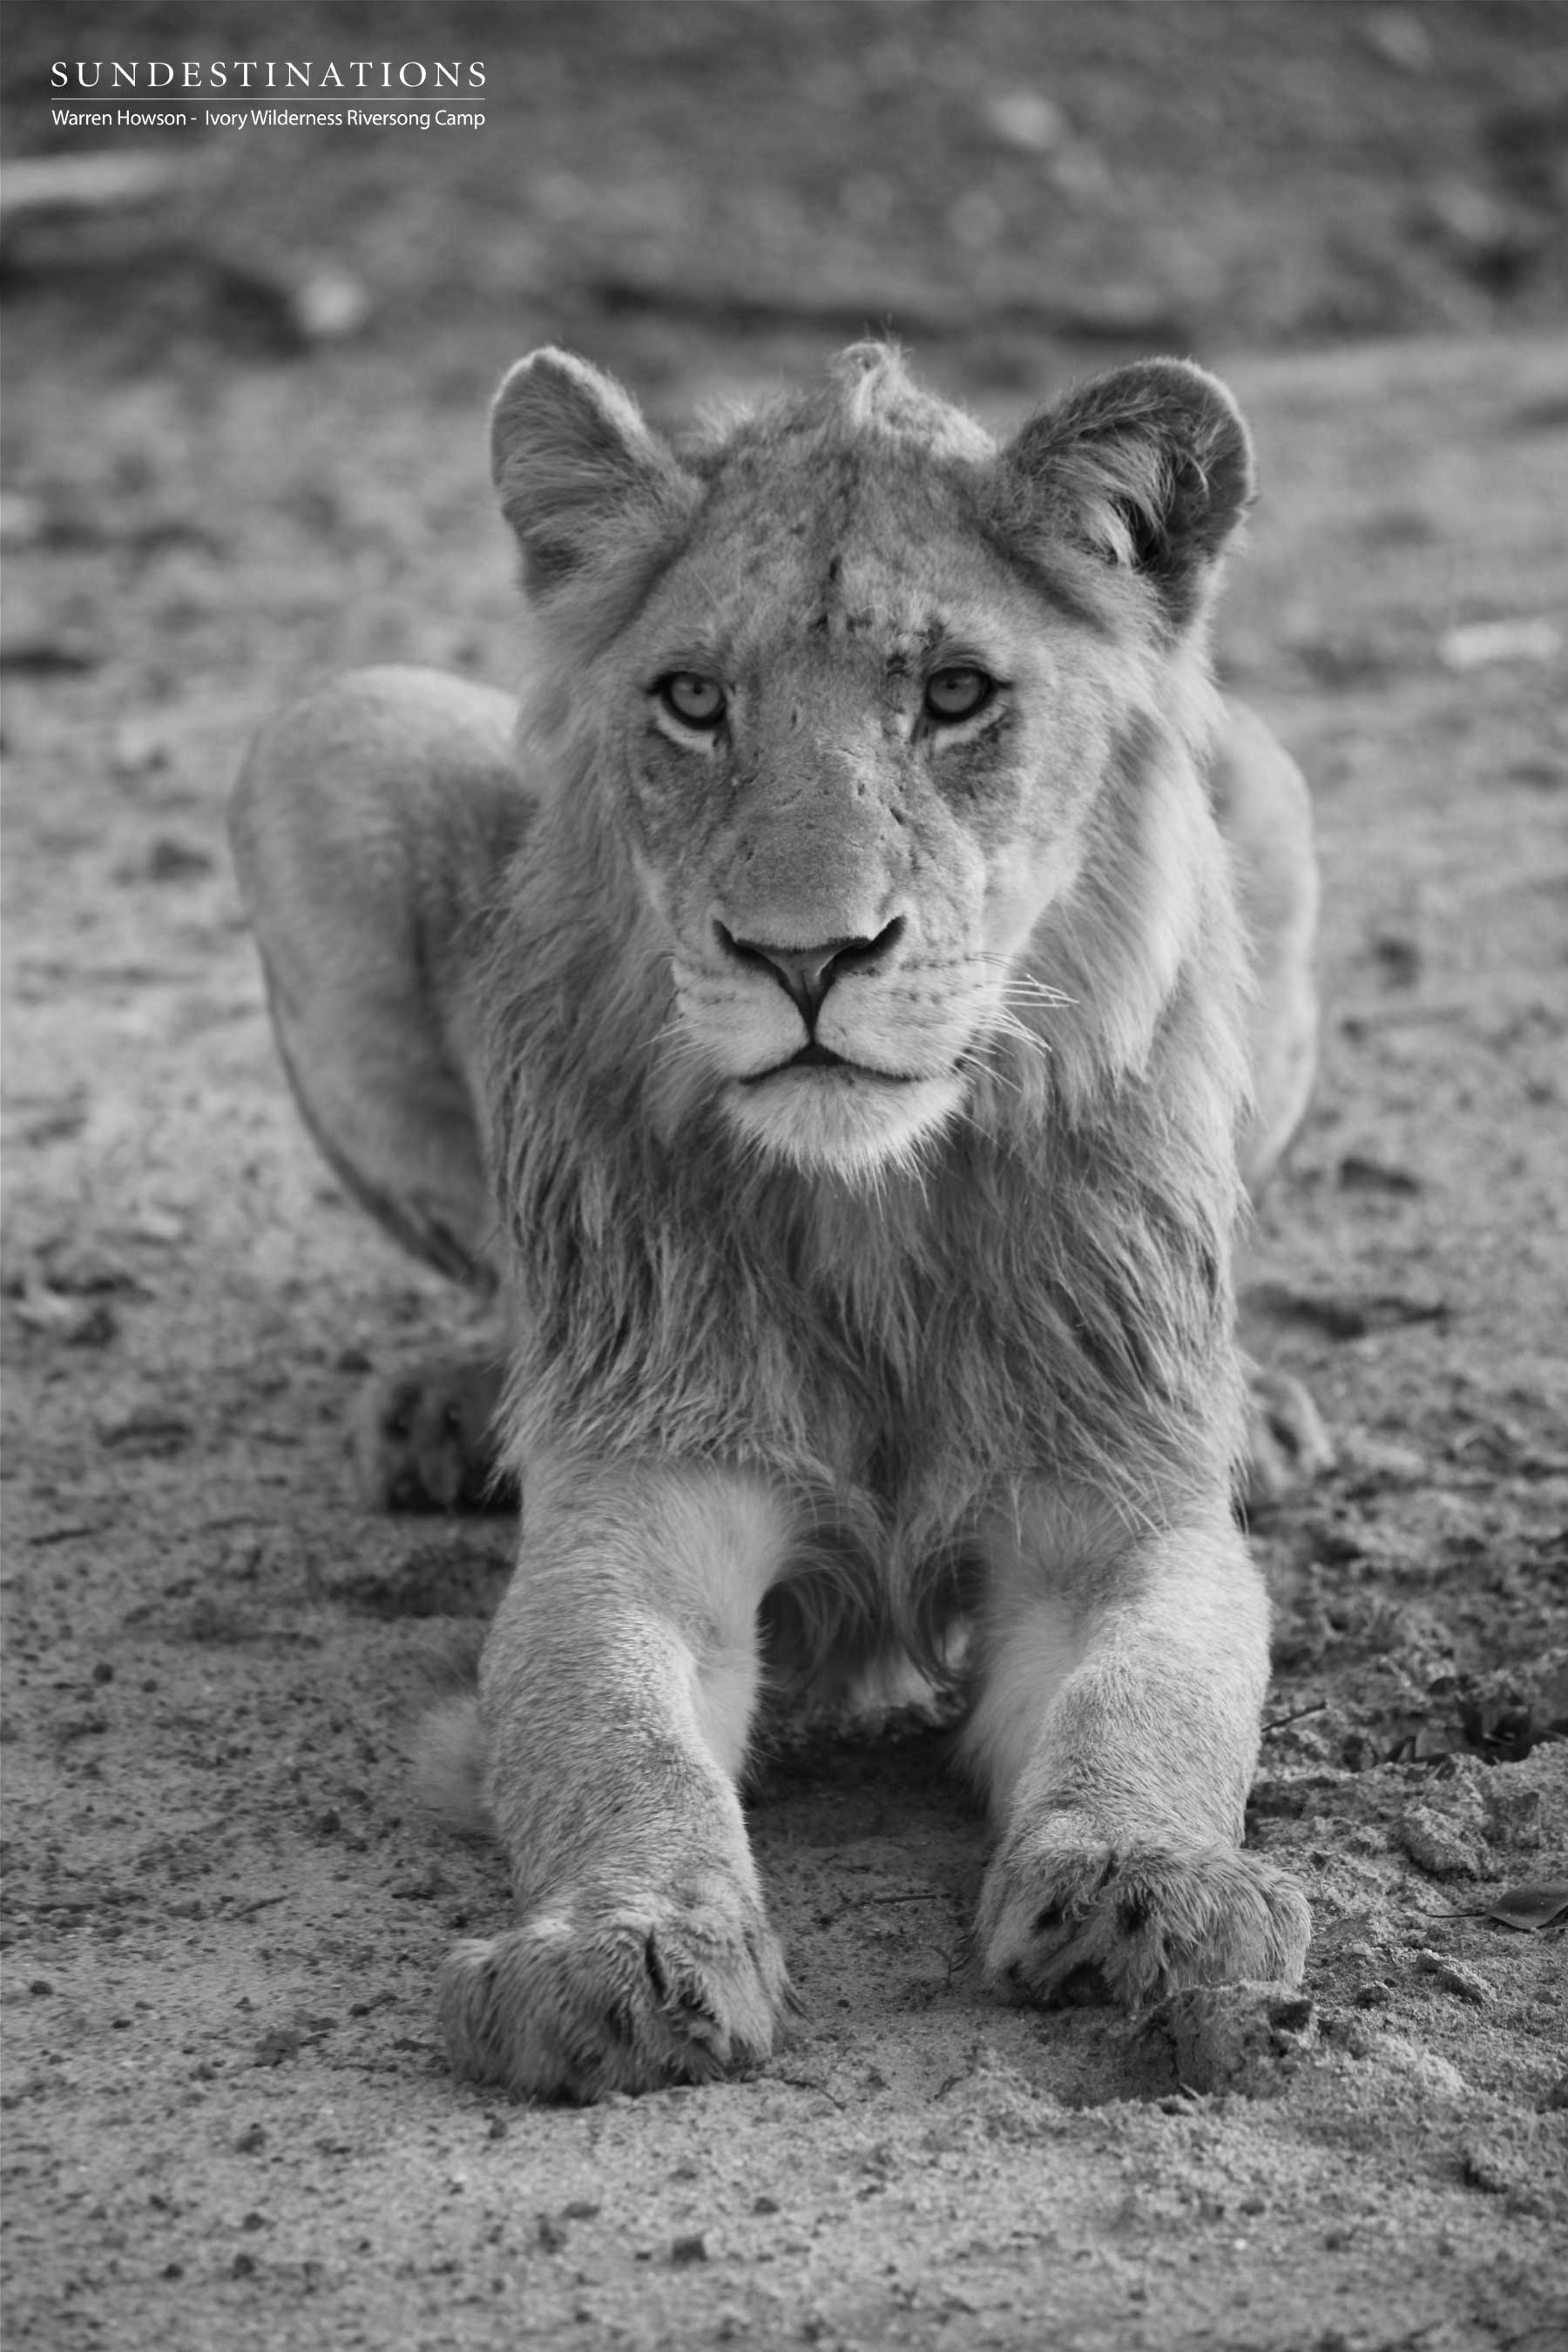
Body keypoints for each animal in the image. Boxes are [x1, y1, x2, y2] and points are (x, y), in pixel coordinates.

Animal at [230, 343, 1328, 2100]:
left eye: (955, 694)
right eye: (693, 701)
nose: (807, 956)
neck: (870, 1207)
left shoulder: (1115, 1516)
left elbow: (1155, 1699)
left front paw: (1152, 1886)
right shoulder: (640, 1512)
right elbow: (614, 1741)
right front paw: (618, 1950)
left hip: (1273, 791)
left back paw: (1265, 1407)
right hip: (330, 740)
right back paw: (461, 1412)